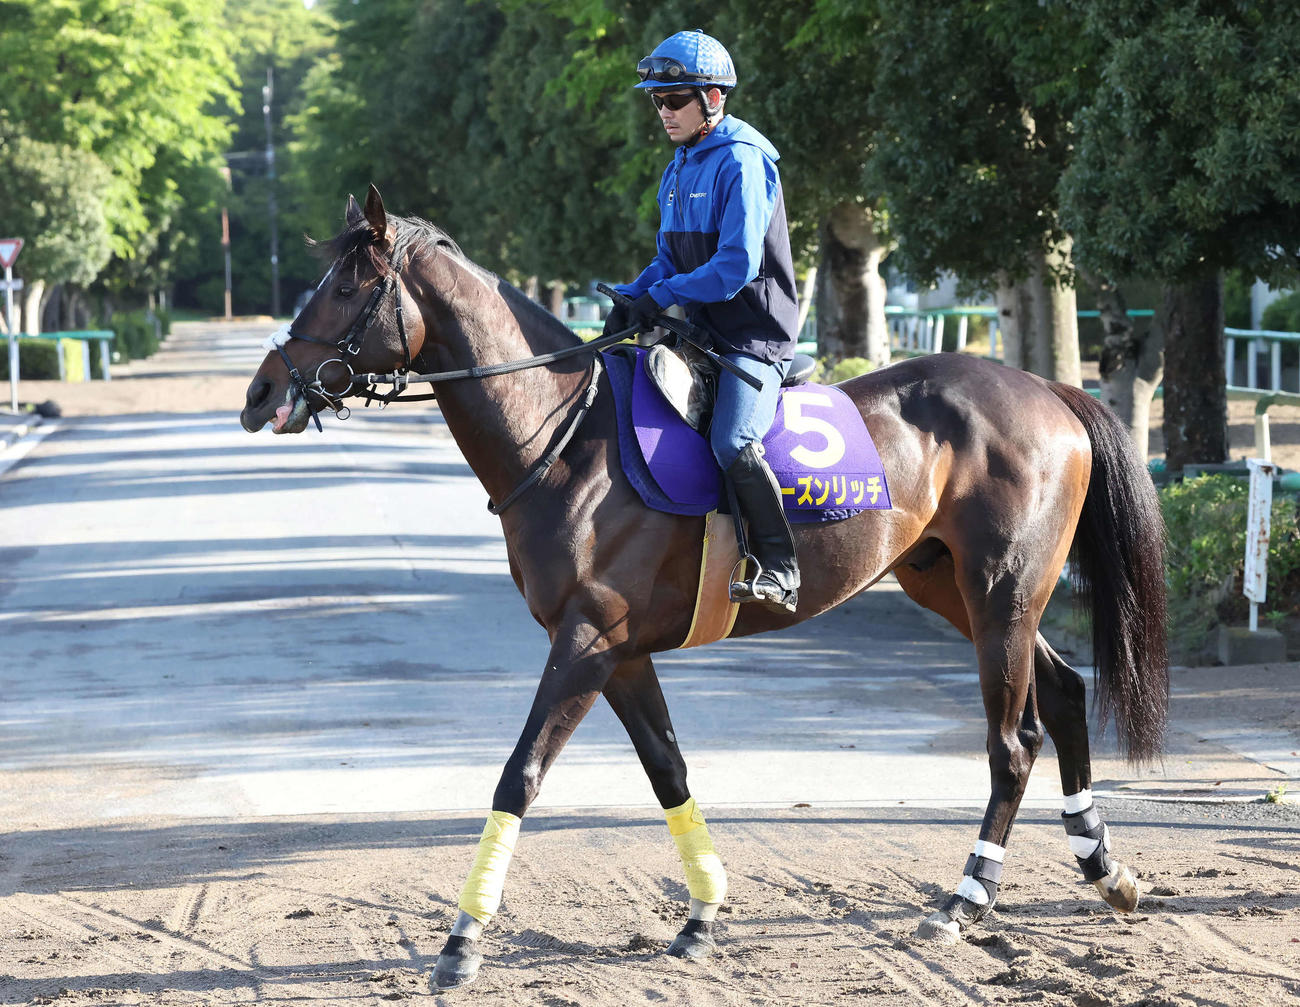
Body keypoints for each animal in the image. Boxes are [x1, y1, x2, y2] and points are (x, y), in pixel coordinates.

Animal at [241, 186, 1168, 990]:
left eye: (348, 286)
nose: (261, 391)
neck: (568, 437)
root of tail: (1045, 389)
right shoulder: (618, 653)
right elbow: (668, 769)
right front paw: (701, 915)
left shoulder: (586, 641)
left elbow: (519, 775)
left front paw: (463, 939)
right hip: (953, 586)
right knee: (1064, 690)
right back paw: (1104, 866)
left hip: (1001, 590)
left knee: (1012, 741)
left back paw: (964, 900)